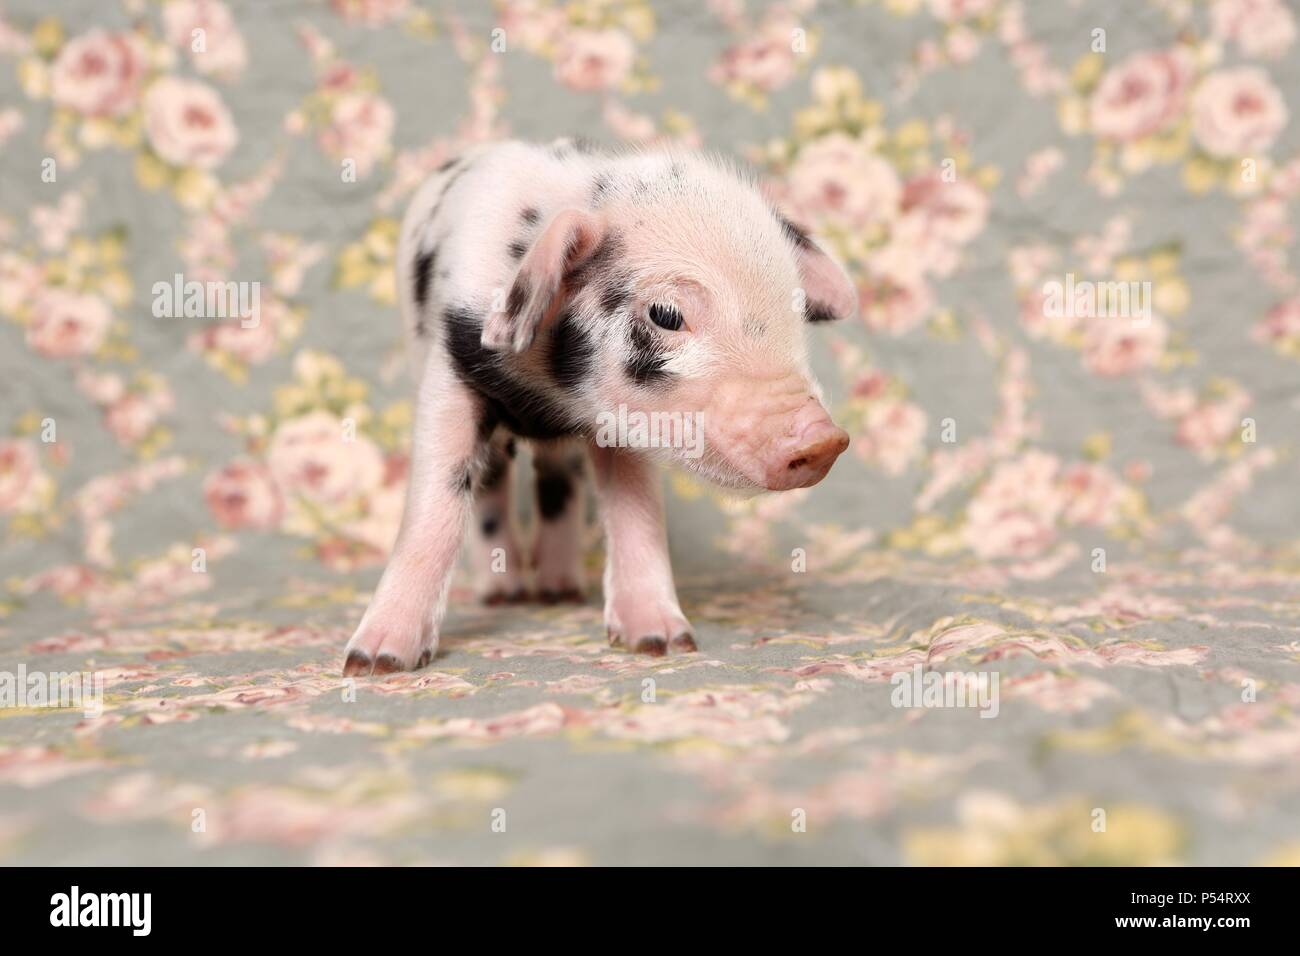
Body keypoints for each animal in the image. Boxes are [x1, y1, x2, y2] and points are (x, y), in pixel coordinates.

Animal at [342, 138, 856, 675]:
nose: (825, 440)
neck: (546, 389)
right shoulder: (450, 373)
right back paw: (504, 596)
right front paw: (374, 663)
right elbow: (433, 509)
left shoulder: (621, 421)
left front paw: (663, 644)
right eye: (666, 314)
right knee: (493, 482)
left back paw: (561, 593)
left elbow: (637, 511)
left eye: (794, 310)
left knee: (558, 478)